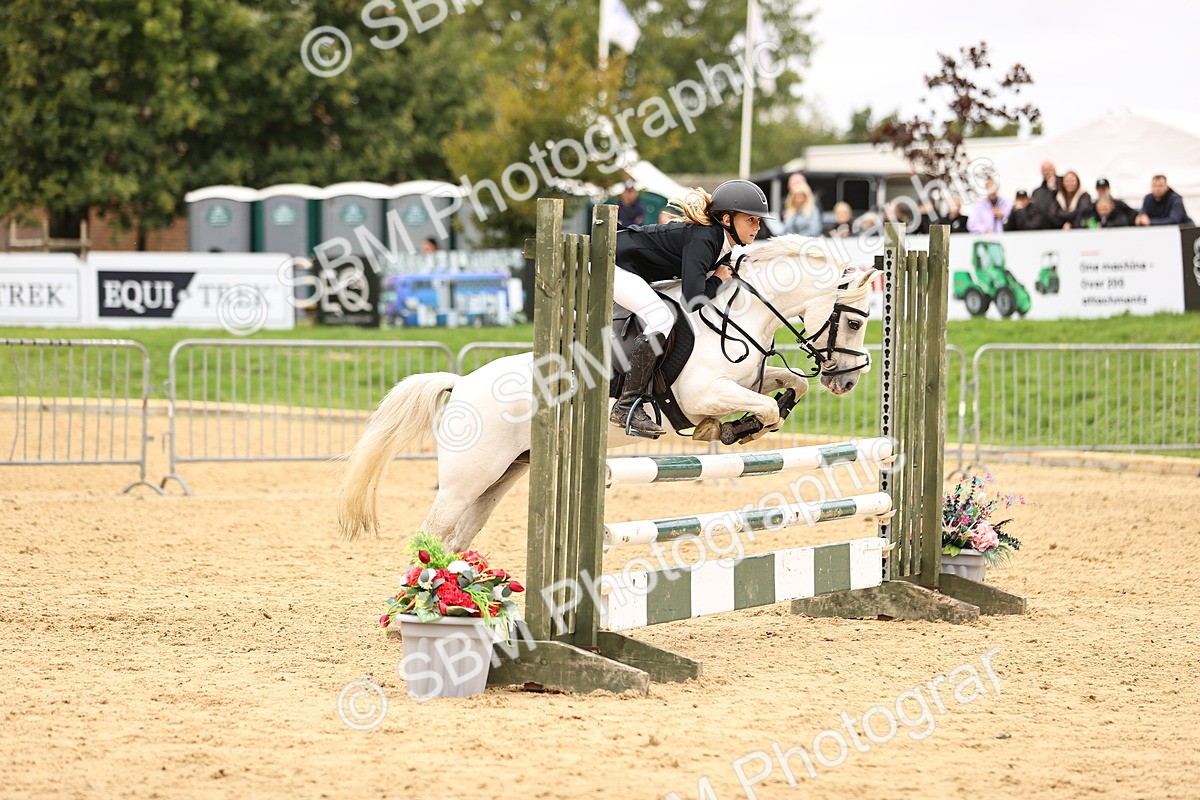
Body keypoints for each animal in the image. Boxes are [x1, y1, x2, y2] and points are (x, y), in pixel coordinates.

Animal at [338, 235, 880, 551]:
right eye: (854, 321)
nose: (847, 381)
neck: (739, 316)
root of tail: (462, 383)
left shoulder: (743, 381)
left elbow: (784, 388)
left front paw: (744, 426)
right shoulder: (703, 394)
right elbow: (762, 406)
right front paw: (732, 429)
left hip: (501, 477)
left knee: (454, 539)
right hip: (466, 478)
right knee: (429, 533)